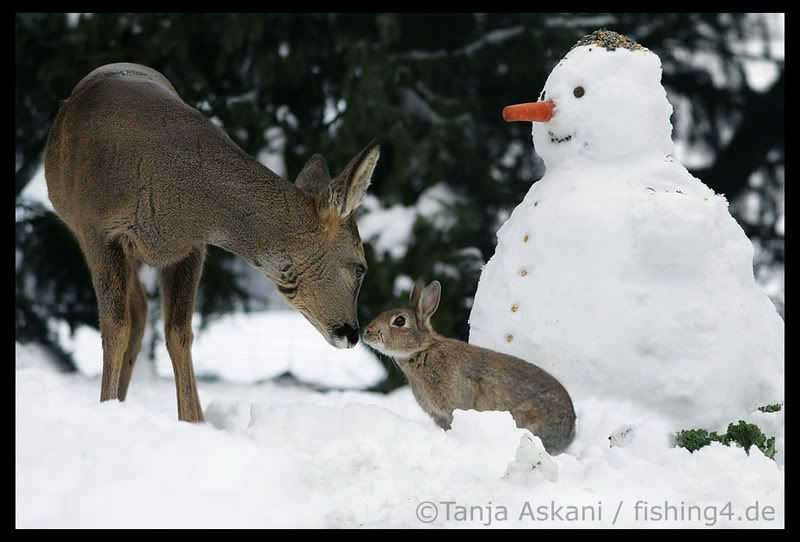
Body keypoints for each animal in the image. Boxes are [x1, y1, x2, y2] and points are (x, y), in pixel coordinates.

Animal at [44, 62, 382, 420]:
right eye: (361, 267)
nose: (352, 333)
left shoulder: (193, 247)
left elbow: (179, 333)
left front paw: (193, 422)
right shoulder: (98, 230)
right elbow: (114, 327)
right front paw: (105, 406)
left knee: (141, 310)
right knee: (132, 315)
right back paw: (116, 402)